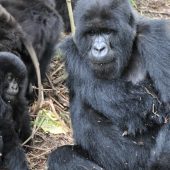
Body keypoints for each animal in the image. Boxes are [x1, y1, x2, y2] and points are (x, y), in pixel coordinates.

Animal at [47, 0, 170, 170]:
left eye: (107, 32)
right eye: (91, 33)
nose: (99, 48)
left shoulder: (157, 37)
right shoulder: (72, 49)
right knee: (61, 156)